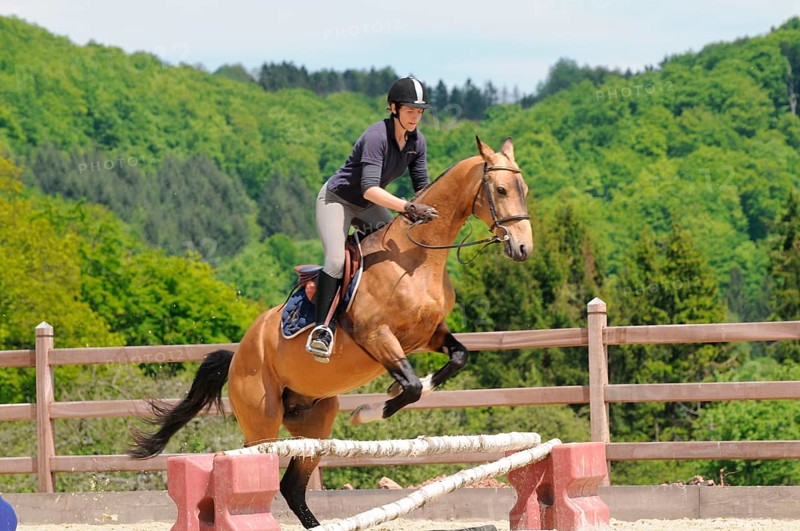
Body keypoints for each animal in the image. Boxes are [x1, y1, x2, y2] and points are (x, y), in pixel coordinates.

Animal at [129, 136, 533, 529]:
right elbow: (412, 386)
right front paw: (370, 411)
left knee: (292, 487)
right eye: (500, 189)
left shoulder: (426, 335)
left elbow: (456, 359)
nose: (523, 247)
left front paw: (392, 391)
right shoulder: (377, 336)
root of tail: (237, 356)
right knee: (256, 469)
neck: (415, 258)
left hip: (315, 421)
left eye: (524, 189)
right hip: (261, 421)